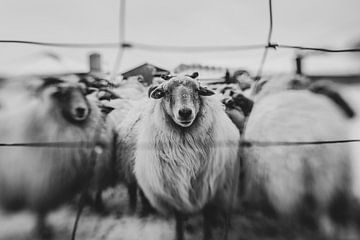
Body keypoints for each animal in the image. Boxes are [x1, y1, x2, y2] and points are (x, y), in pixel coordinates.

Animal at [0, 78, 103, 238]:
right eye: (64, 95)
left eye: (84, 93)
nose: (81, 110)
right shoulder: (40, 183)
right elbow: (41, 211)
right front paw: (42, 231)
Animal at [134, 72, 240, 240]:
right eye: (166, 92)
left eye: (197, 90)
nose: (185, 112)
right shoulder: (175, 191)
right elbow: (178, 221)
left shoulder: (208, 189)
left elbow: (207, 219)